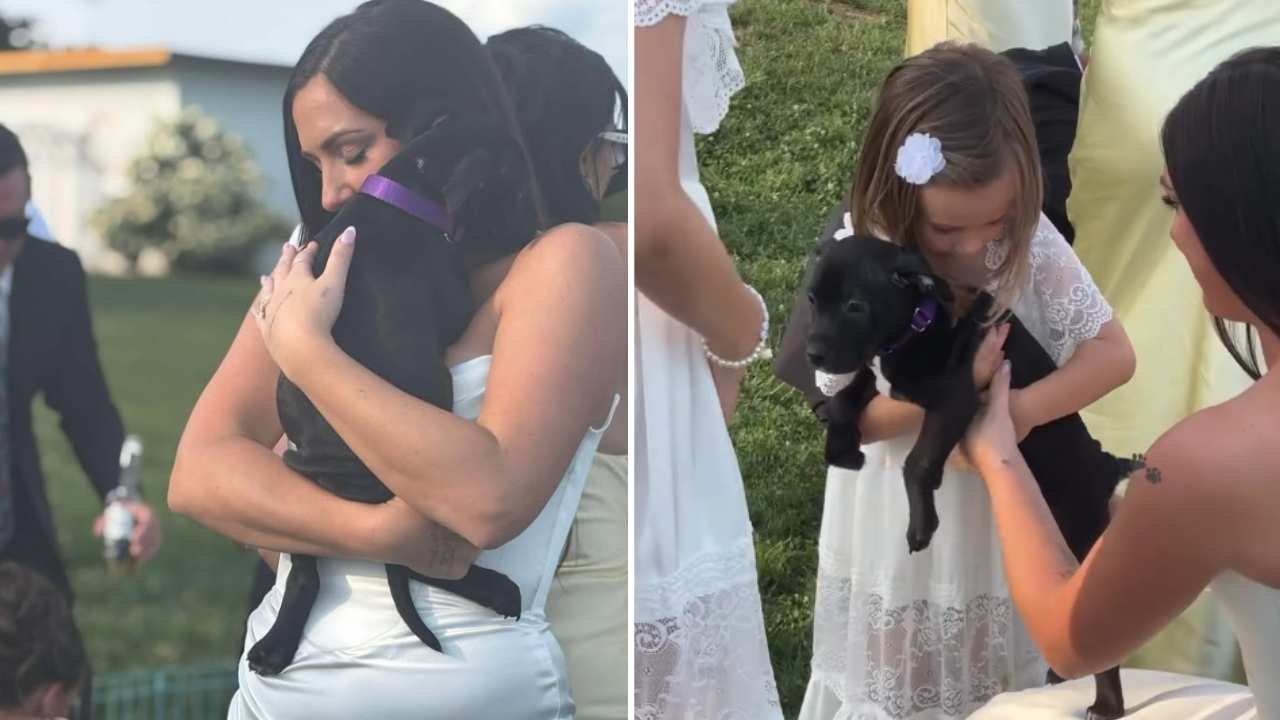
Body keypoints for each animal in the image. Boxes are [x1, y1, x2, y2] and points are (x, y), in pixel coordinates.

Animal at [246, 108, 524, 677]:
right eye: (510, 180)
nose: (532, 218)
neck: (404, 188)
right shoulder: (453, 296)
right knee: (425, 566)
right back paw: (496, 589)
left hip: (298, 471)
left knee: (309, 572)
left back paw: (275, 648)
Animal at [802, 223, 1138, 719]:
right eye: (812, 300)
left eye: (855, 306)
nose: (812, 355)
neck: (917, 324)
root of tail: (1103, 463)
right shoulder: (880, 376)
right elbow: (848, 395)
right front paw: (842, 446)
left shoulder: (954, 397)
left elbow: (917, 462)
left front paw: (923, 525)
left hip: (1082, 539)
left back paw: (1107, 704)